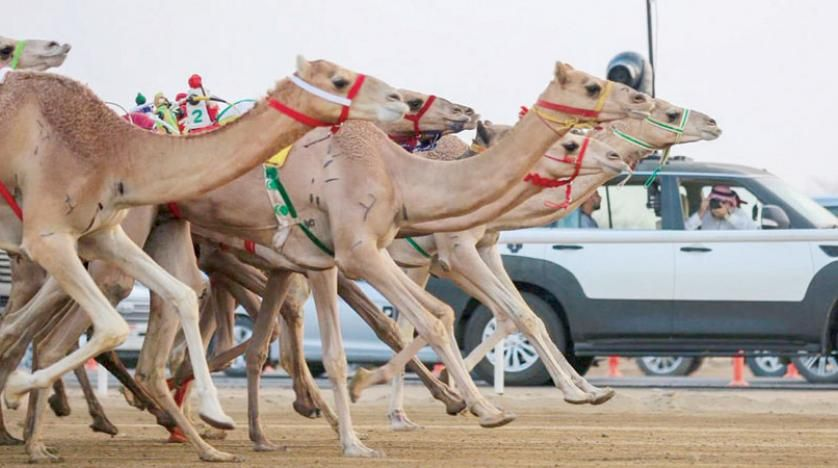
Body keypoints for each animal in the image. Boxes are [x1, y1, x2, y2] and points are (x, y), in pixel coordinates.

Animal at [352, 99, 724, 420]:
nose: (713, 123)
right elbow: (498, 315)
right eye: (671, 112)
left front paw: (588, 389)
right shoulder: (447, 252)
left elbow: (517, 314)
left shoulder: (463, 252)